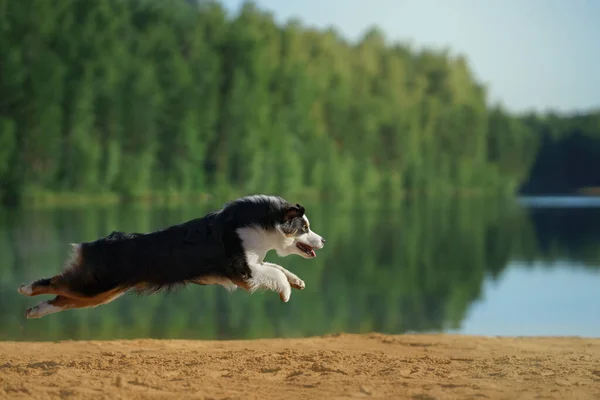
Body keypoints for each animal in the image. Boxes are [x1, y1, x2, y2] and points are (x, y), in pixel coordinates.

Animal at [17, 194, 328, 318]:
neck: (263, 223)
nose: (323, 240)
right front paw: (286, 291)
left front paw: (297, 281)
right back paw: (25, 288)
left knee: (61, 299)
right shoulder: (244, 271)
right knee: (53, 283)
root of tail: (94, 244)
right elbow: (274, 272)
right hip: (97, 284)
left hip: (102, 294)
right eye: (305, 227)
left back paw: (34, 311)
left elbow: (276, 266)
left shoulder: (253, 264)